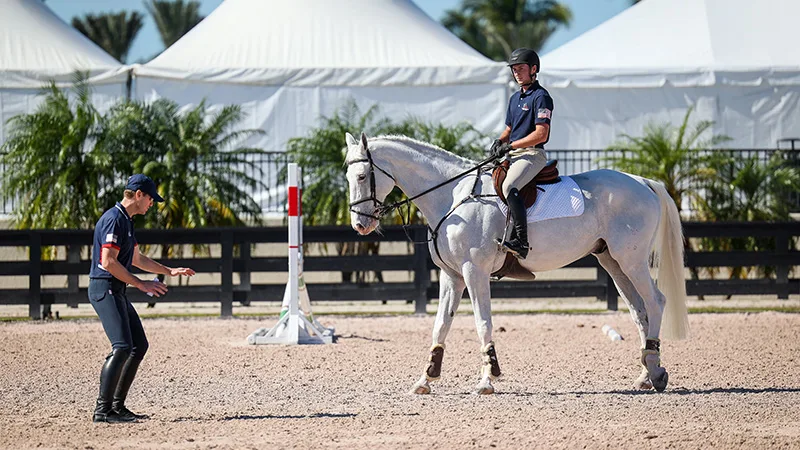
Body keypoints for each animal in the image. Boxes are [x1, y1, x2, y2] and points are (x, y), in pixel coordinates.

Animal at [344, 131, 688, 394]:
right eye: (347, 177)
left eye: (361, 176)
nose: (360, 225)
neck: (452, 195)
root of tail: (642, 182)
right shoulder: (451, 276)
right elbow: (440, 325)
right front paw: (425, 379)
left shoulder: (474, 271)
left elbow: (483, 323)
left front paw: (487, 380)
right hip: (612, 262)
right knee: (639, 311)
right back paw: (647, 374)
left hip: (631, 260)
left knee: (656, 302)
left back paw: (655, 371)